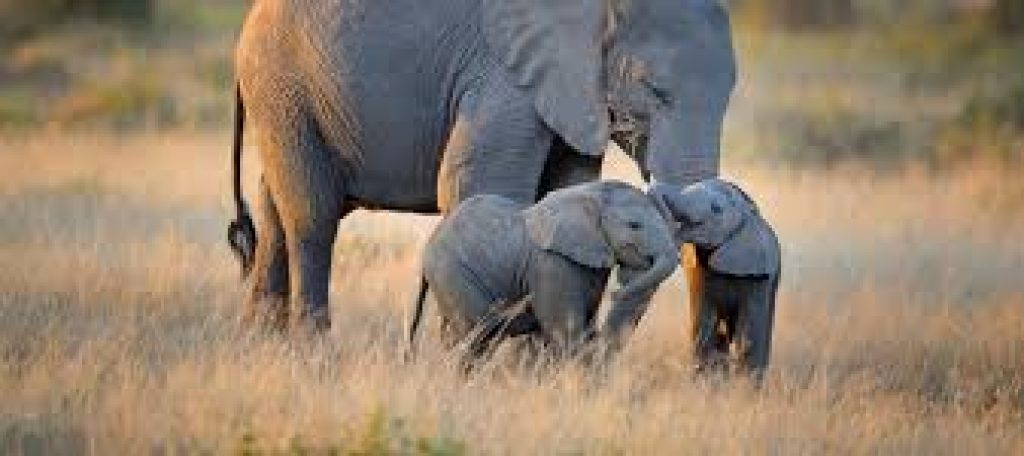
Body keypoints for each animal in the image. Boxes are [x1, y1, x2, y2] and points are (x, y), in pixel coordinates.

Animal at [226, 0, 737, 332]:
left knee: (276, 212)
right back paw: (312, 353)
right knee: (312, 217)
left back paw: (263, 350)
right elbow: (476, 183)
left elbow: (567, 186)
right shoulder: (505, 76)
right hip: (282, 84)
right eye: (655, 90)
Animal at [407, 181, 678, 364]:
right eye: (635, 226)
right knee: (476, 337)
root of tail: (428, 248)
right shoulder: (550, 263)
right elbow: (566, 332)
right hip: (454, 275)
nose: (616, 292)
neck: (591, 194)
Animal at [653, 179, 781, 382]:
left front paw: (743, 387)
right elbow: (704, 325)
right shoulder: (699, 273)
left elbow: (749, 333)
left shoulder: (760, 277)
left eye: (716, 209)